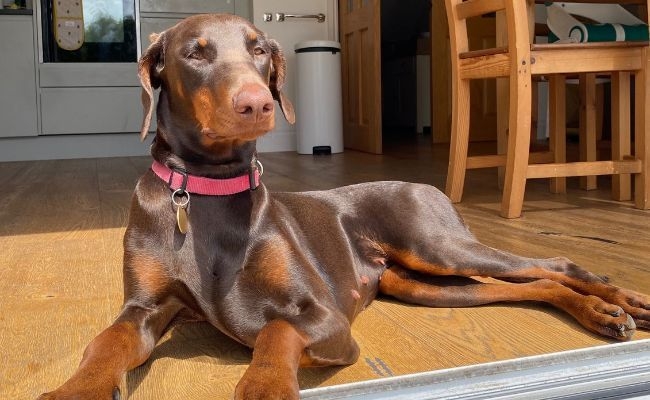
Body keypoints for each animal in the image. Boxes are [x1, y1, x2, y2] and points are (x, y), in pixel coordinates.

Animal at [40, 12, 648, 400]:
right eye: (195, 53)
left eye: (259, 48)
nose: (257, 103)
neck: (207, 191)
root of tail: (425, 185)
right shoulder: (144, 308)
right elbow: (105, 344)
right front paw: (73, 390)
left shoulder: (322, 314)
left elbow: (275, 333)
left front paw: (265, 387)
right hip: (424, 285)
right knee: (529, 285)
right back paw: (601, 313)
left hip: (439, 248)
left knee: (553, 264)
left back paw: (621, 301)